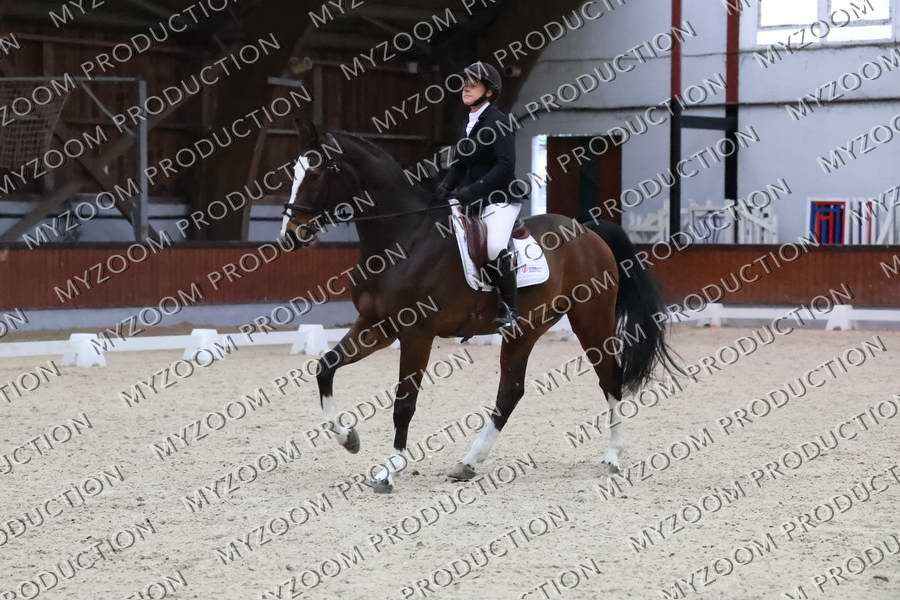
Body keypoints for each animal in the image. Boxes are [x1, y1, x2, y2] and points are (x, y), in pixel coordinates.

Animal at [281, 123, 680, 494]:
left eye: (315, 172)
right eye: (294, 171)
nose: (291, 235)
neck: (403, 239)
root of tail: (588, 231)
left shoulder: (415, 333)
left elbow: (404, 403)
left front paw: (389, 470)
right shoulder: (376, 325)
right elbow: (325, 368)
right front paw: (348, 439)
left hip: (590, 320)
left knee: (609, 377)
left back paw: (612, 457)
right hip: (525, 329)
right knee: (511, 391)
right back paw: (469, 462)